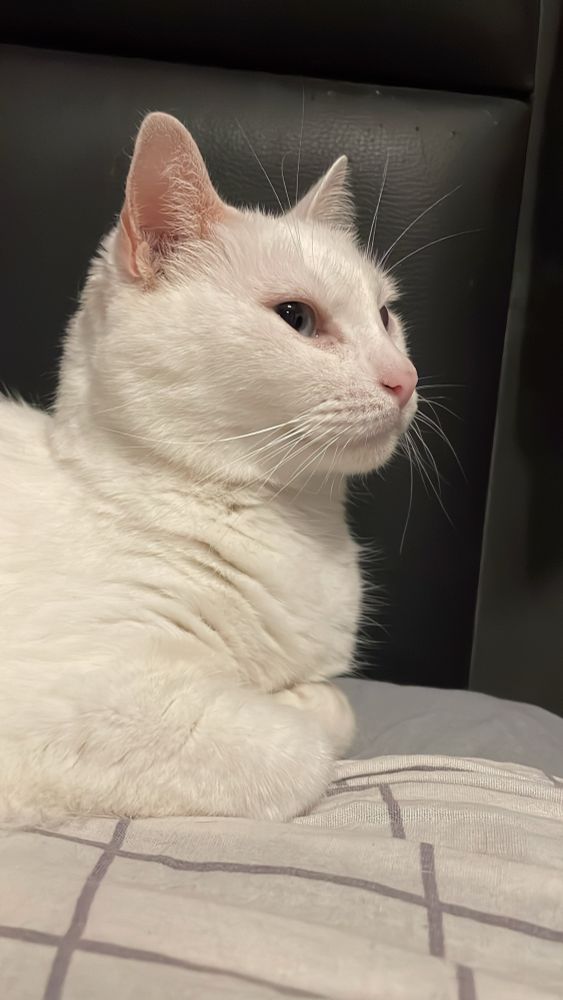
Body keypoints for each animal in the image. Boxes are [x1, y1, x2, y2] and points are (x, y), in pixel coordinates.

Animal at [0, 112, 417, 824]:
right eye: (297, 317)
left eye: (386, 315)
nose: (406, 378)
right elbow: (299, 747)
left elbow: (337, 705)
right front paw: (298, 703)